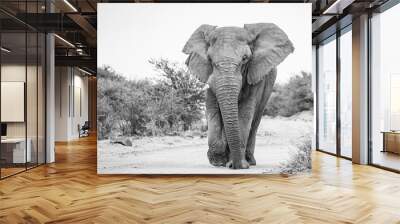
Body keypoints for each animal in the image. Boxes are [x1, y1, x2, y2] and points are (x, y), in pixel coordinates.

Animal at [183, 23, 292, 169]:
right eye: (210, 59)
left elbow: (245, 113)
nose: (235, 165)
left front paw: (239, 164)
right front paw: (218, 161)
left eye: (245, 58)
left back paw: (250, 161)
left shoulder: (255, 75)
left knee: (255, 121)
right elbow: (212, 108)